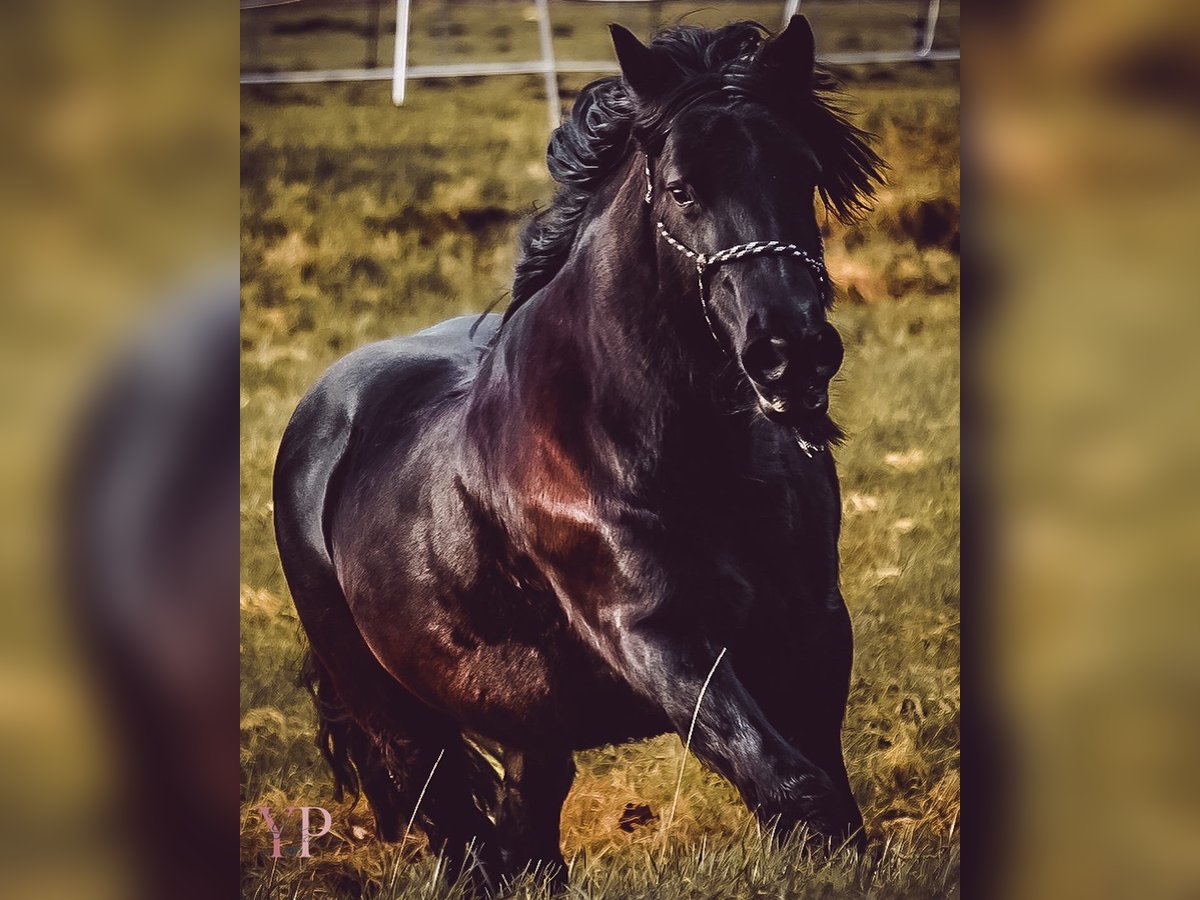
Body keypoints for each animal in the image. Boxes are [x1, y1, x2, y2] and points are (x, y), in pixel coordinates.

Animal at [273, 16, 882, 892]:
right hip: (401, 720)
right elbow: (795, 788)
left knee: (527, 836)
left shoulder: (814, 627)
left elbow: (819, 794)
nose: (789, 355)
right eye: (681, 190)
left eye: (801, 172)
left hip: (526, 724)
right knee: (462, 835)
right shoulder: (656, 639)